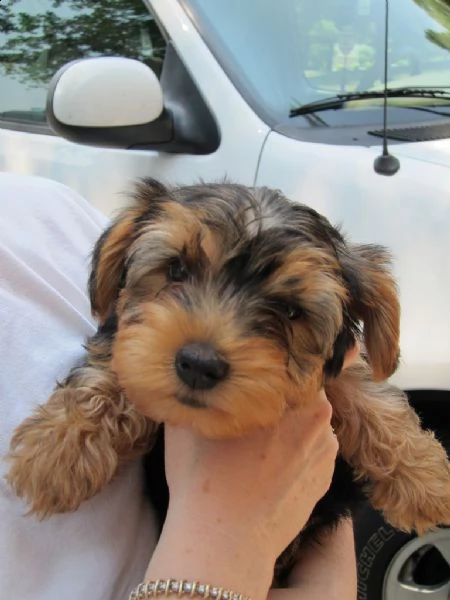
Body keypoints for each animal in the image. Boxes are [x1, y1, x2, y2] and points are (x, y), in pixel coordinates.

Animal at [6, 179, 450, 580]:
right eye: (177, 269)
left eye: (291, 311)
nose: (199, 363)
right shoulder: (123, 338)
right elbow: (114, 366)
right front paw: (55, 451)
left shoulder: (334, 368)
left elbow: (365, 389)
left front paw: (424, 480)